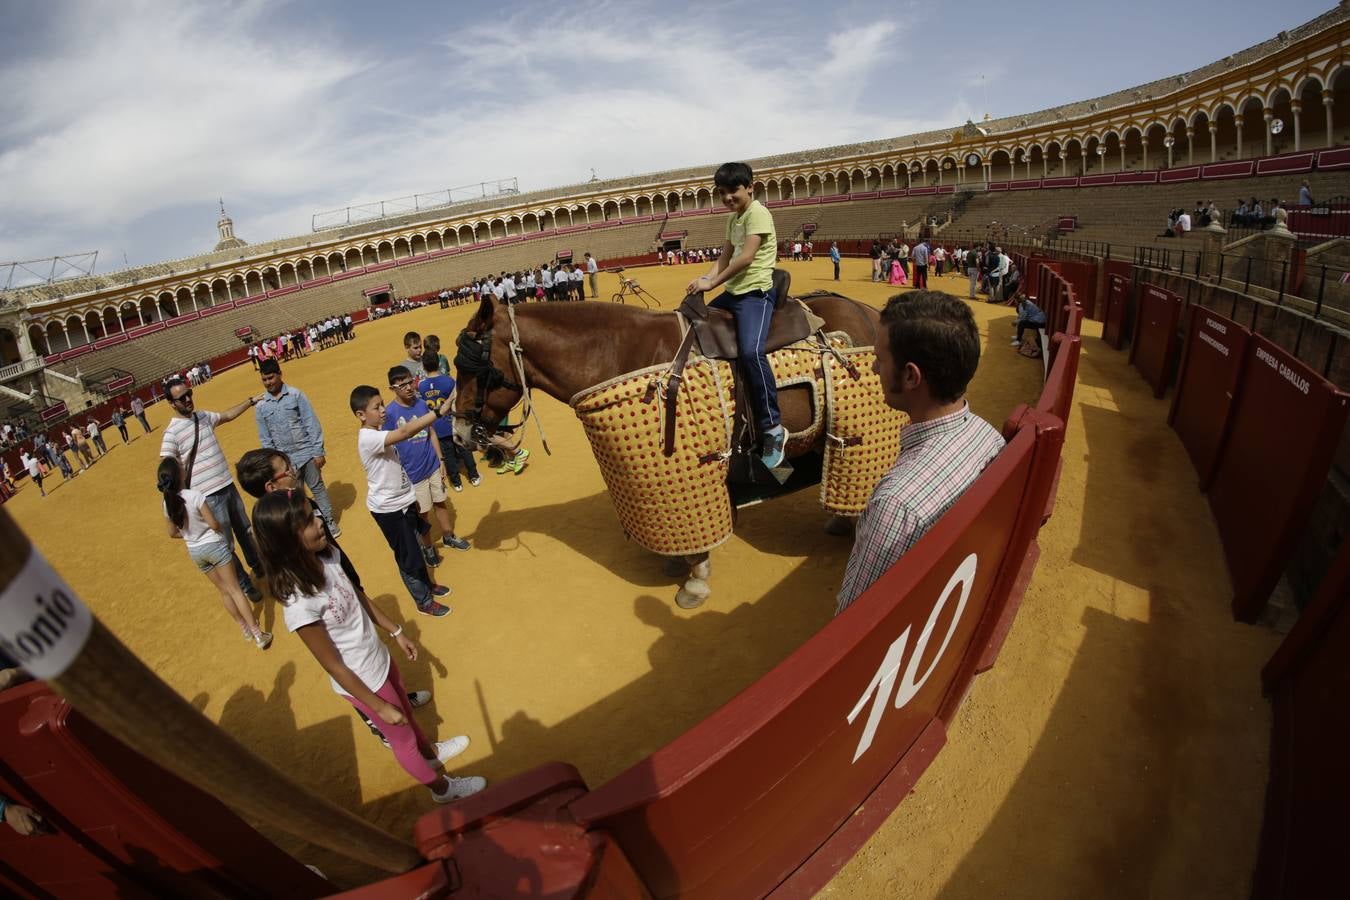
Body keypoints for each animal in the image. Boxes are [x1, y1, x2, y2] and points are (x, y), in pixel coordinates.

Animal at [448, 292, 880, 609]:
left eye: (469, 366)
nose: (458, 432)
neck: (618, 353)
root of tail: (868, 310)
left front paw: (695, 581)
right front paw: (676, 562)